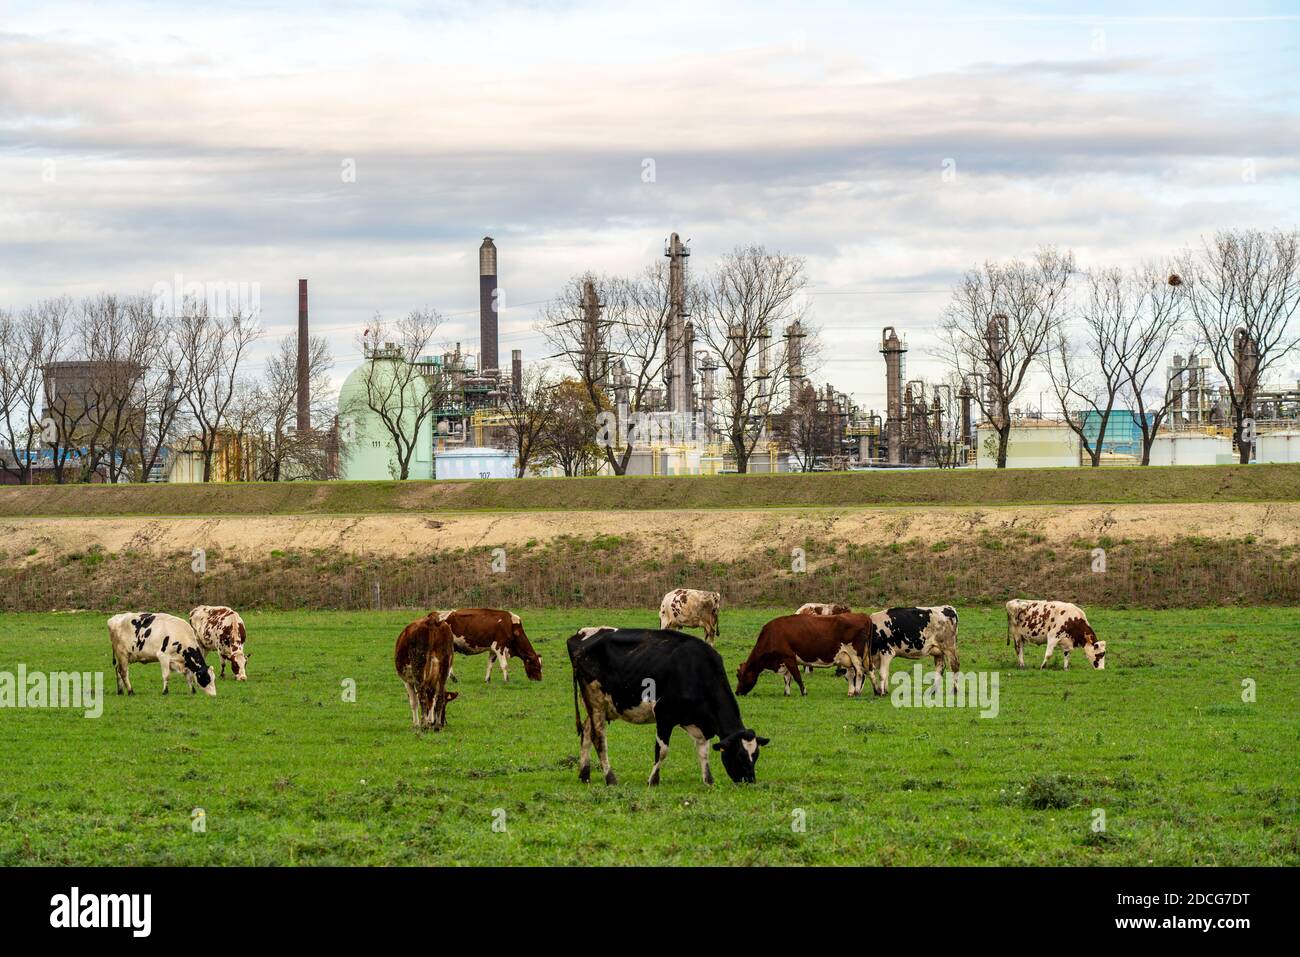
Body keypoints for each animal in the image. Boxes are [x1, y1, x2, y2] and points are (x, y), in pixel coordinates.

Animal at [566, 629, 764, 785]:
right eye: (739, 755)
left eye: (756, 755)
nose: (750, 781)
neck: (696, 670)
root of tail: (580, 637)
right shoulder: (664, 715)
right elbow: (661, 751)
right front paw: (653, 780)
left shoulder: (698, 722)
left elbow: (703, 751)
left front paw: (708, 780)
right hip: (596, 702)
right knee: (598, 738)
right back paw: (610, 778)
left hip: (598, 706)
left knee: (586, 732)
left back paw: (585, 775)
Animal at [733, 613, 873, 696]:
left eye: (739, 676)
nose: (737, 692)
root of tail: (863, 615)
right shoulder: (785, 660)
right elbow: (787, 678)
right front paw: (787, 693)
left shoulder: (788, 657)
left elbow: (796, 676)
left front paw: (804, 692)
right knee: (855, 673)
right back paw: (853, 692)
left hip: (855, 656)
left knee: (860, 672)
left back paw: (856, 692)